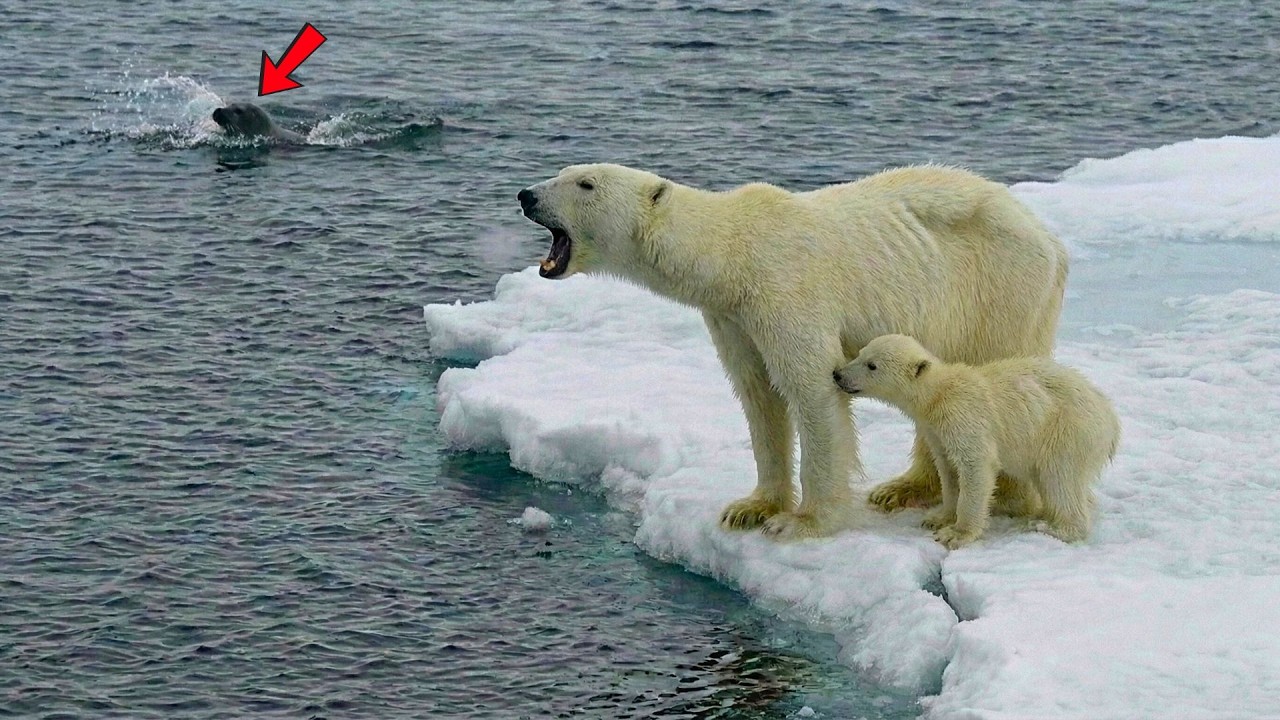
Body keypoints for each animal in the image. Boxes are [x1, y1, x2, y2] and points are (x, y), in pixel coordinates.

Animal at [517, 163, 1068, 538]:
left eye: (585, 184)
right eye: (564, 172)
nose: (525, 195)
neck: (732, 255)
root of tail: (1051, 238)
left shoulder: (786, 290)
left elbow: (813, 389)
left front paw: (802, 522)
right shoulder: (733, 317)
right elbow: (757, 394)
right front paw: (750, 507)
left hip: (999, 289)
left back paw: (1000, 493)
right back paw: (903, 488)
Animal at [834, 334, 1121, 548]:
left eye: (872, 365)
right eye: (861, 353)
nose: (838, 374)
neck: (939, 395)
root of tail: (1111, 419)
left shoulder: (965, 418)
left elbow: (976, 467)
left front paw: (957, 533)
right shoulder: (937, 431)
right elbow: (948, 470)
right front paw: (938, 518)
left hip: (1067, 431)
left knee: (1059, 478)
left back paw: (1048, 525)